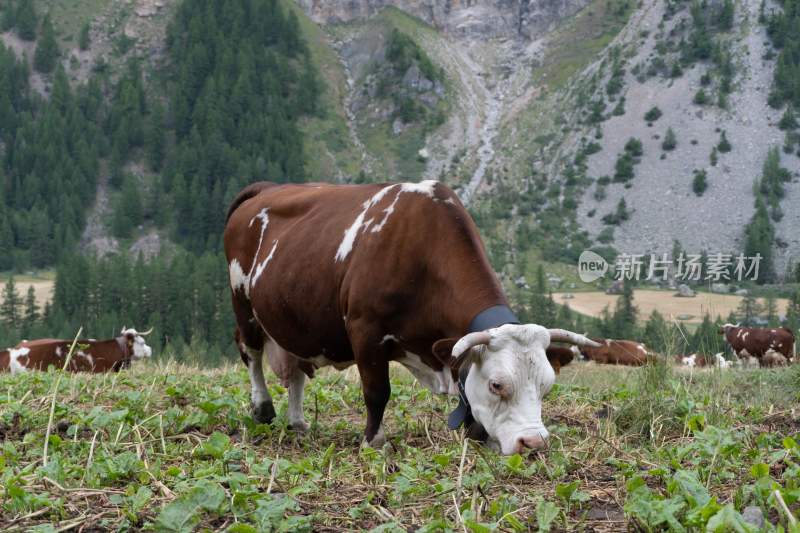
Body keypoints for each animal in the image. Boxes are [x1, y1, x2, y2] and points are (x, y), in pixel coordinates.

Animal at [225, 181, 600, 456]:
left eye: (547, 385)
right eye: (497, 384)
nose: (533, 444)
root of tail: (267, 187)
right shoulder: (365, 332)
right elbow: (377, 391)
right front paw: (373, 442)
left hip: (294, 321)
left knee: (296, 370)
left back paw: (299, 423)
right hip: (243, 304)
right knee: (251, 352)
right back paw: (263, 408)